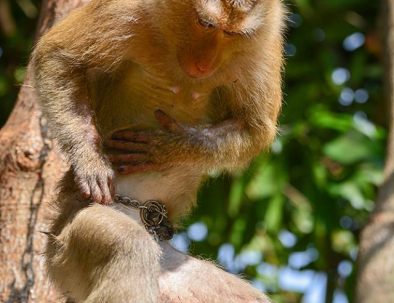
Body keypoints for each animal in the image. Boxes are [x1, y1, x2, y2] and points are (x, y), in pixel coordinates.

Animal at [30, 0, 284, 302]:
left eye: (231, 34)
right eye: (206, 24)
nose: (202, 64)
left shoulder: (265, 40)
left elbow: (254, 128)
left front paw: (166, 146)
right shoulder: (128, 10)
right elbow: (58, 56)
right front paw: (90, 161)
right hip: (67, 242)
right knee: (128, 246)